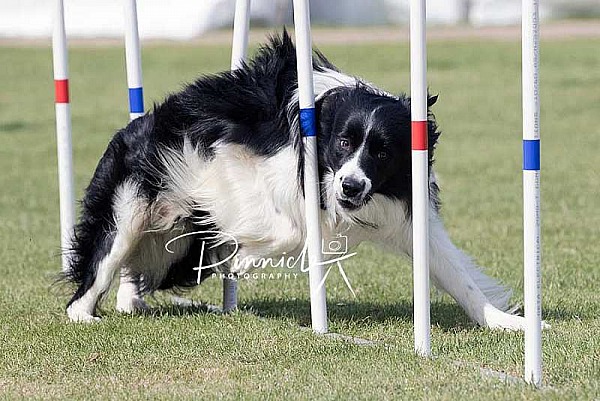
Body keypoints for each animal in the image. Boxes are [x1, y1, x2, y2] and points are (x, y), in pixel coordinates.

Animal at [63, 32, 524, 330]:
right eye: (343, 143)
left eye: (382, 152)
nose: (351, 188)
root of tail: (130, 129)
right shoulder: (227, 162)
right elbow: (284, 227)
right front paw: (244, 257)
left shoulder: (404, 213)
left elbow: (459, 277)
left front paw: (506, 323)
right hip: (129, 212)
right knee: (103, 261)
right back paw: (85, 314)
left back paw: (130, 300)